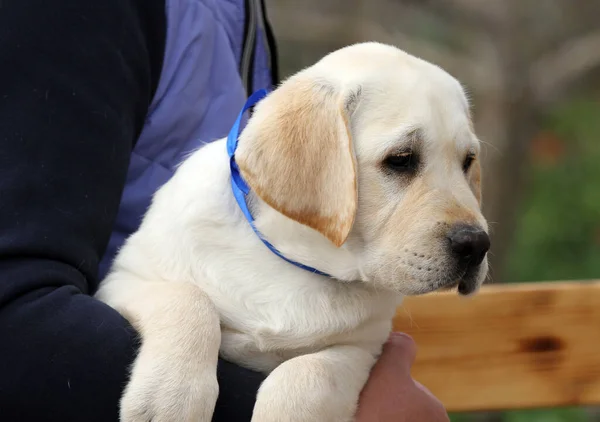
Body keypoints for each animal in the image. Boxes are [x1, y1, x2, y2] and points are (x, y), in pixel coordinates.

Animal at [96, 40, 490, 422]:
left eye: (468, 161)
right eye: (401, 159)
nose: (477, 245)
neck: (292, 261)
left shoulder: (360, 347)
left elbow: (309, 375)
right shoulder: (124, 279)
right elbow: (187, 300)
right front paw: (171, 396)